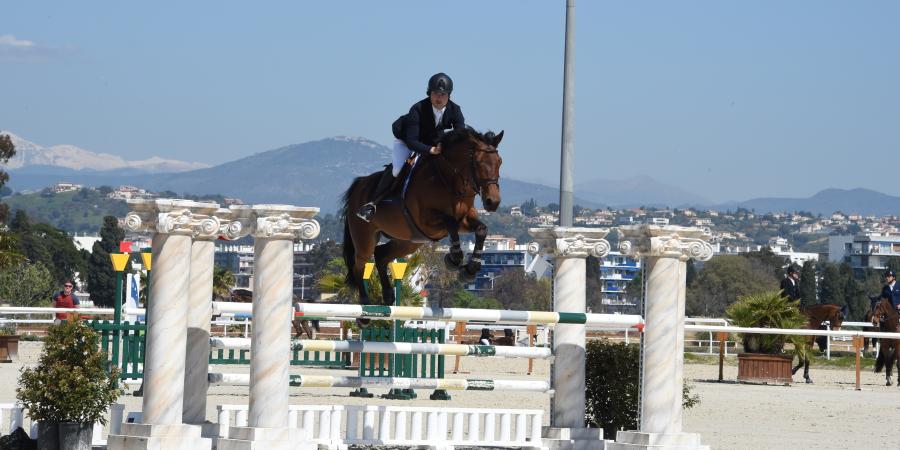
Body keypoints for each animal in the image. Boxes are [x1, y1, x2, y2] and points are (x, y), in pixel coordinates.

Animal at [342, 128, 502, 326]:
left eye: (499, 162)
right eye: (480, 163)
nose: (493, 202)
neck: (448, 179)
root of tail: (359, 185)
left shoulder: (465, 220)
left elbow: (481, 230)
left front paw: (470, 269)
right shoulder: (428, 221)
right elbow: (450, 223)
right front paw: (454, 259)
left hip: (408, 241)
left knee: (381, 255)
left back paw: (388, 295)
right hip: (365, 237)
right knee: (360, 265)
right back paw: (364, 310)